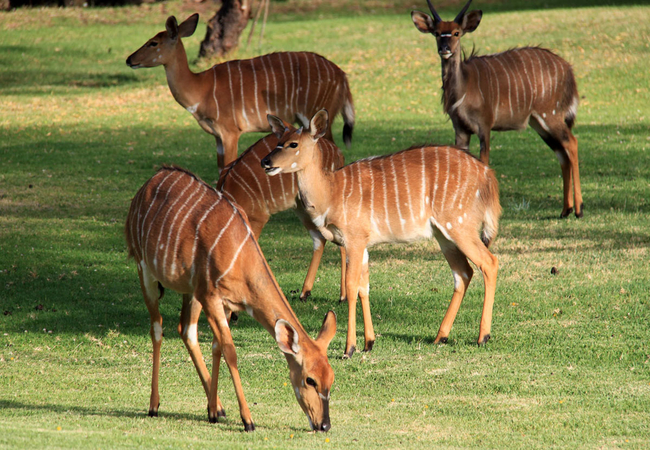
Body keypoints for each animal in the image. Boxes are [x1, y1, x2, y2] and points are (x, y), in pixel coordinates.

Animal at [126, 12, 354, 171]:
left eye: (153, 43)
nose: (129, 59)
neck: (201, 88)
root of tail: (342, 75)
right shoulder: (217, 136)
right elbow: (220, 167)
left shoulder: (230, 131)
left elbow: (228, 165)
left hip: (315, 116)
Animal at [126, 166, 340, 432]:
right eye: (310, 380)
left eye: (331, 377)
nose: (324, 425)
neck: (242, 256)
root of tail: (146, 186)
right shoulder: (211, 296)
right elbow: (230, 350)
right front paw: (248, 420)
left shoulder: (225, 303)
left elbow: (217, 345)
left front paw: (212, 412)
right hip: (145, 269)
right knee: (157, 327)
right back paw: (154, 405)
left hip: (191, 291)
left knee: (186, 330)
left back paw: (216, 407)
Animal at [218, 134, 346, 302]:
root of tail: (338, 152)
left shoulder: (258, 218)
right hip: (301, 207)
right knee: (320, 238)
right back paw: (304, 293)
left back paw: (343, 296)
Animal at [260, 111, 502, 358]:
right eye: (278, 140)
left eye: (293, 144)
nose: (265, 162)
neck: (331, 192)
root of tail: (487, 175)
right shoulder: (364, 244)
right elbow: (364, 287)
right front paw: (369, 343)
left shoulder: (354, 239)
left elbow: (351, 286)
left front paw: (349, 348)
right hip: (444, 234)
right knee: (463, 273)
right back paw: (440, 337)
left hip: (459, 225)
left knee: (489, 262)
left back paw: (483, 337)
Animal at [410, 0, 584, 218]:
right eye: (436, 33)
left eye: (457, 32)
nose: (445, 49)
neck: (463, 89)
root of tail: (568, 70)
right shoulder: (460, 129)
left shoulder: (484, 126)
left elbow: (484, 162)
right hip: (539, 122)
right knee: (561, 152)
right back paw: (565, 210)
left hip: (550, 115)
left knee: (572, 143)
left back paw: (579, 209)